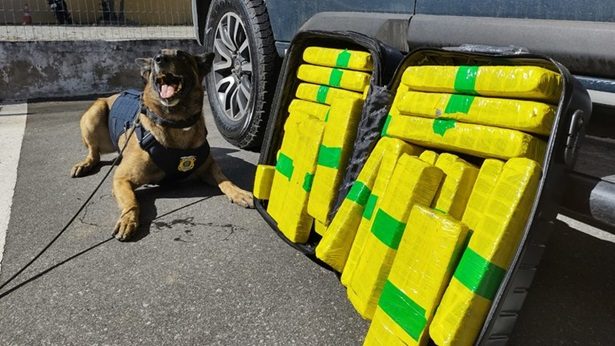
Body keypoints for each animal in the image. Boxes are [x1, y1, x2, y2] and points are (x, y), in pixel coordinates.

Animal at [73, 48, 255, 241]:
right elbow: (132, 202)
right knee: (94, 152)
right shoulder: (121, 179)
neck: (177, 123)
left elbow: (225, 179)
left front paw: (239, 192)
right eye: (155, 57)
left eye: (181, 55)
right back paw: (84, 164)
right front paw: (128, 219)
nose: (159, 59)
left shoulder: (208, 168)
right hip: (94, 114)